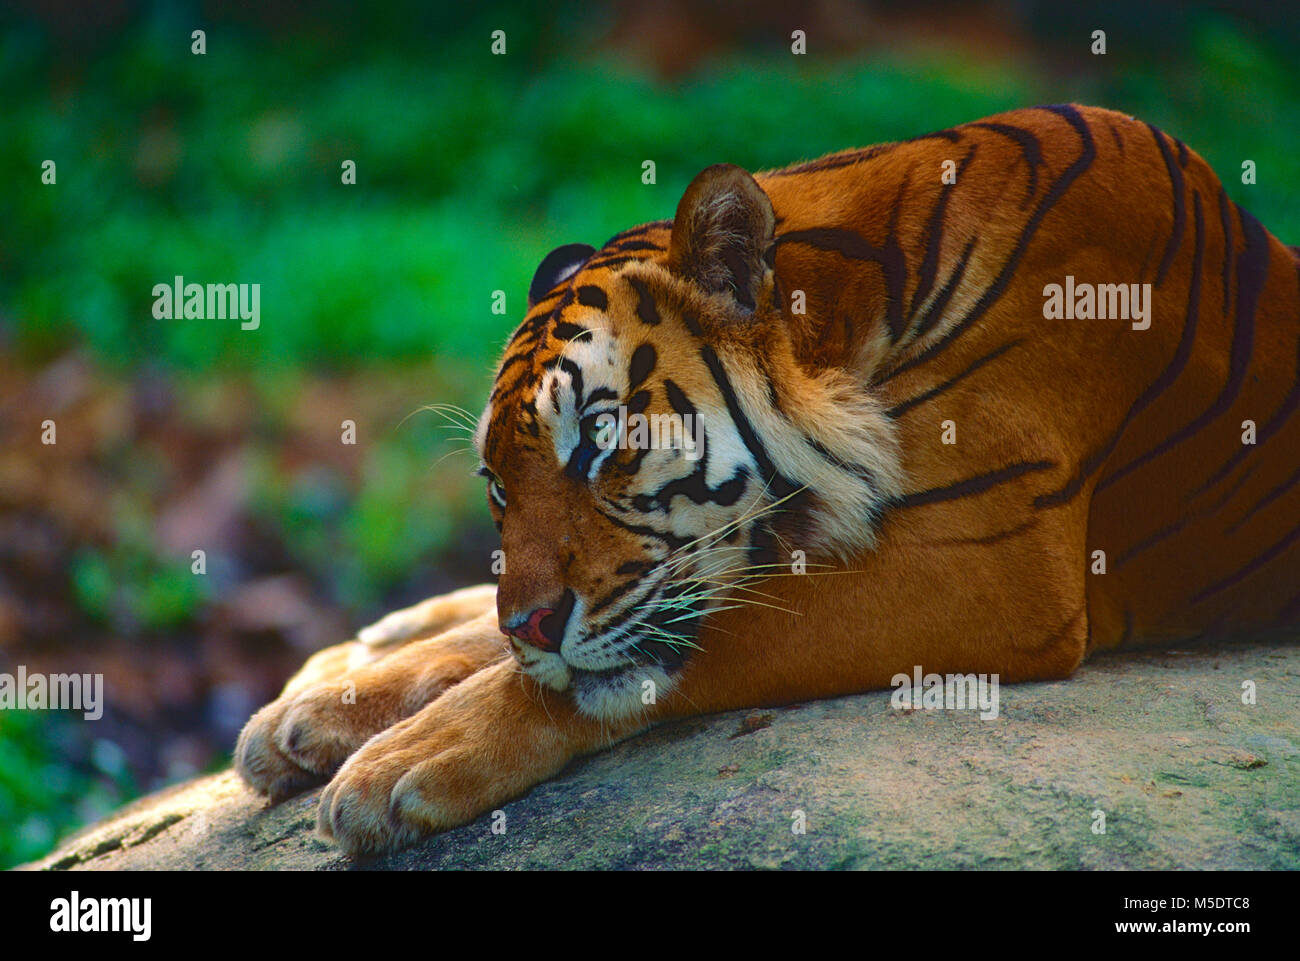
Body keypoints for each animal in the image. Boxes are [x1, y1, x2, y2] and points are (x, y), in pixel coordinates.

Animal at [233, 107, 1300, 858]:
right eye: (497, 484)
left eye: (599, 441)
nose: (532, 624)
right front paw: (317, 718)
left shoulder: (994, 568)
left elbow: (680, 646)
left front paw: (397, 764)